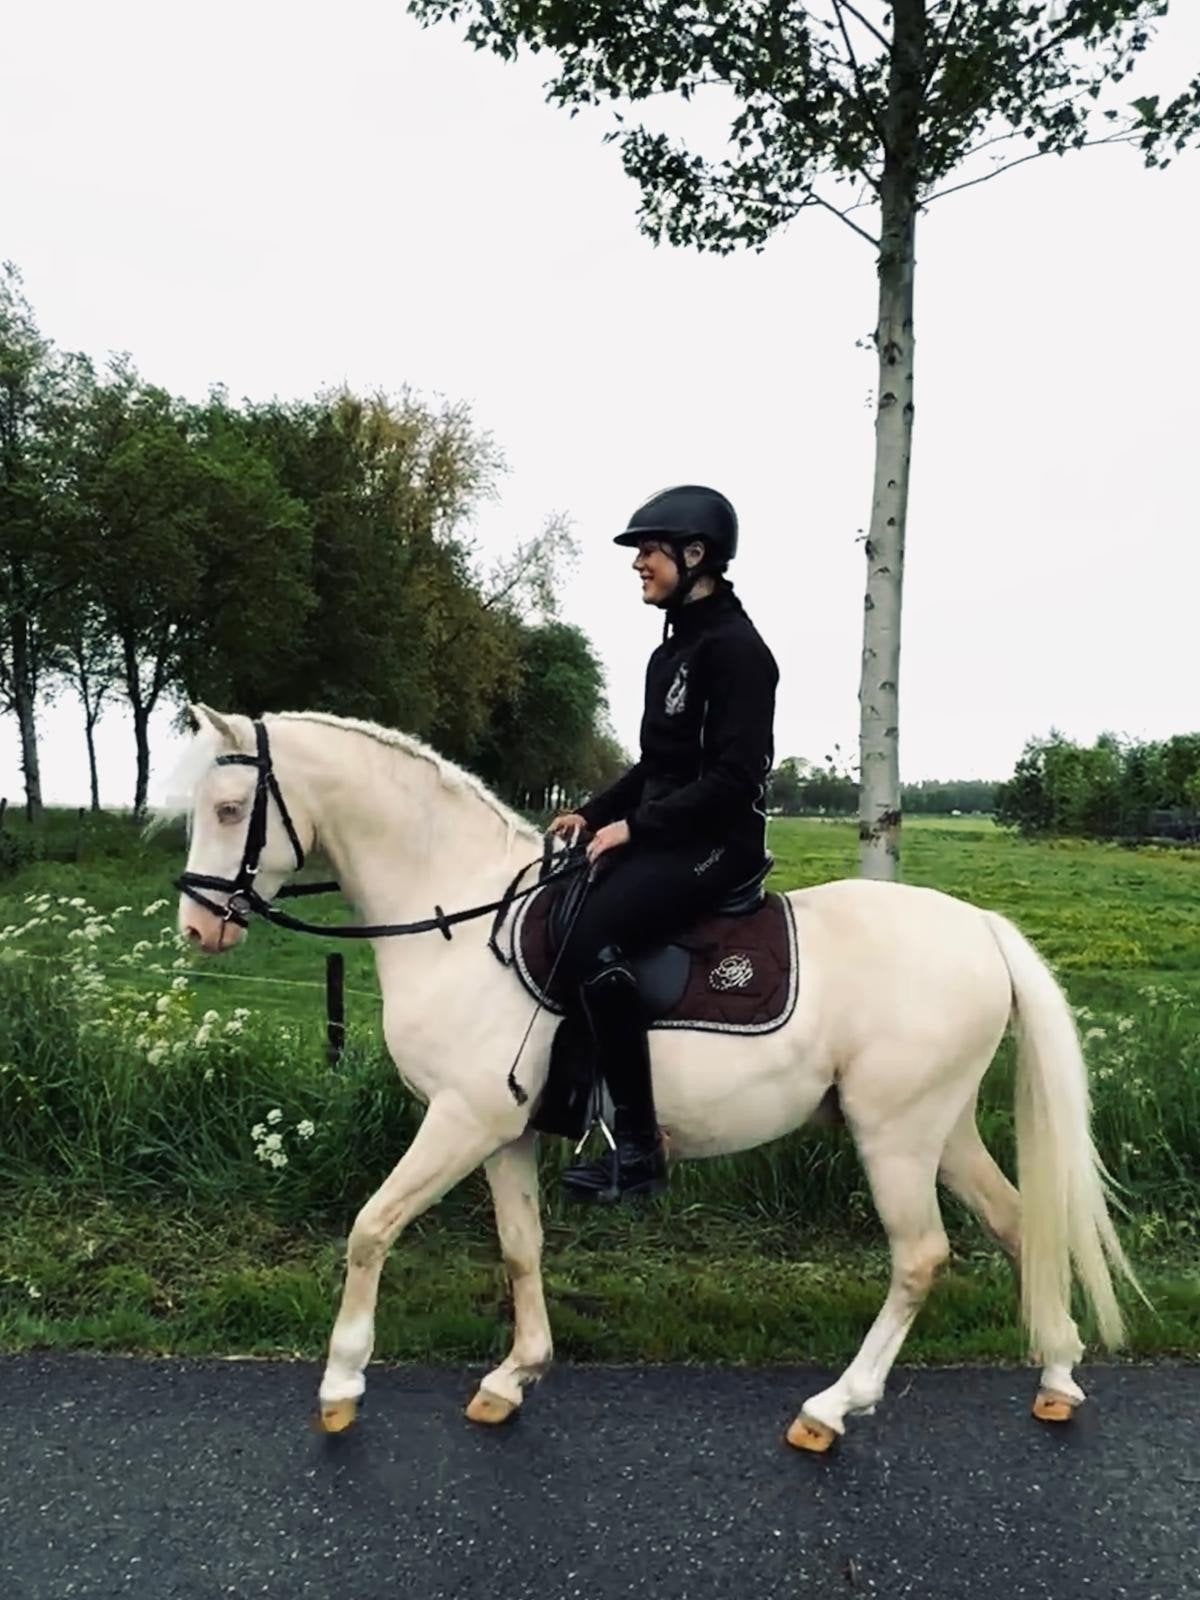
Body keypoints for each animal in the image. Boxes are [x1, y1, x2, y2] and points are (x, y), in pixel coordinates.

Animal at [168, 705, 1141, 1452]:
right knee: (1018, 1223)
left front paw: (341, 1384)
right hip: (941, 1129)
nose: (197, 928)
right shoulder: (503, 1134)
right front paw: (513, 1377)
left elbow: (371, 1228)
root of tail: (981, 928)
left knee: (920, 1258)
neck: (459, 923)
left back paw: (832, 1407)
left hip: (896, 1136)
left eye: (229, 807)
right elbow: (520, 1248)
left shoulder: (460, 1121)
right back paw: (1057, 1375)